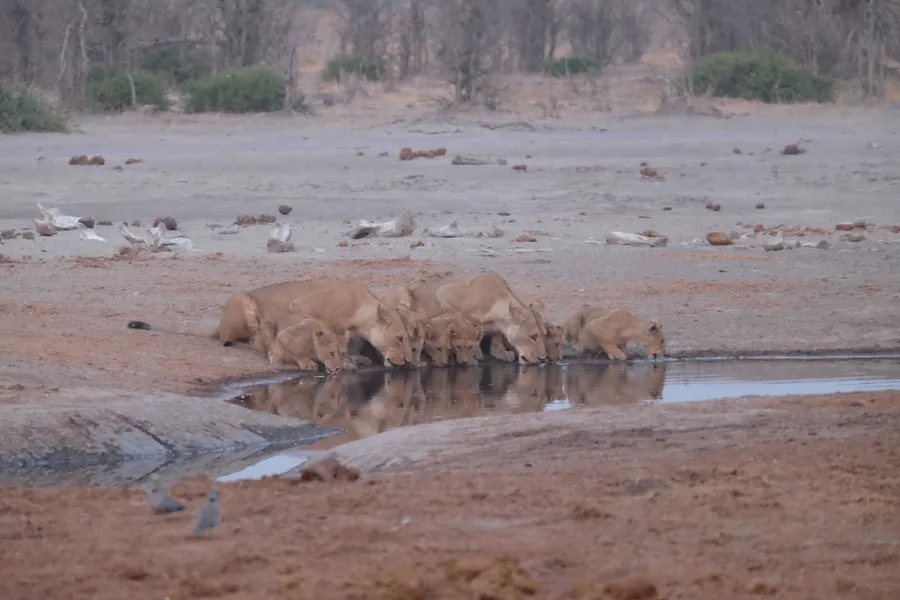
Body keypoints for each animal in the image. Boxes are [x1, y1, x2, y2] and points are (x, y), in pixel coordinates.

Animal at [127, 280, 413, 367]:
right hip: (243, 301)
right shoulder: (300, 306)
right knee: (241, 340)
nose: (409, 362)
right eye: (400, 337)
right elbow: (318, 331)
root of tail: (219, 324)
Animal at [406, 273, 547, 364]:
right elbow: (465, 322)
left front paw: (500, 352)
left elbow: (496, 336)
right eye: (533, 336)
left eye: (544, 335)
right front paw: (476, 351)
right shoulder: (444, 292)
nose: (542, 359)